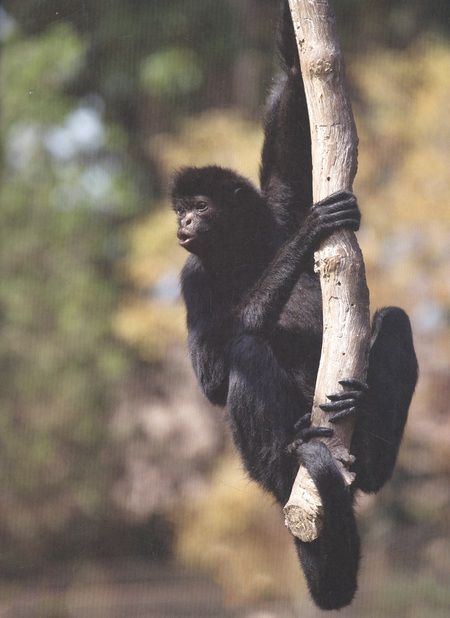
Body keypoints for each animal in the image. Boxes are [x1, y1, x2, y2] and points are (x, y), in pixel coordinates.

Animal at [170, 1, 418, 608]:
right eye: (182, 211)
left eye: (199, 207)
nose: (183, 224)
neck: (241, 254)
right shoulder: (191, 276)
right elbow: (213, 378)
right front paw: (310, 234)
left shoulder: (274, 211)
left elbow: (292, 104)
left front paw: (291, 38)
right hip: (264, 471)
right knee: (244, 350)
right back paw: (293, 451)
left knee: (396, 321)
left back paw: (364, 443)